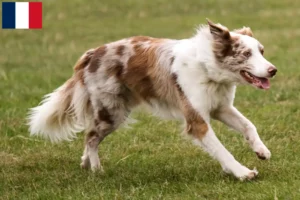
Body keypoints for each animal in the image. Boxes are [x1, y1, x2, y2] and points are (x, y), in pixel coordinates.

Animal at [27, 19, 276, 180]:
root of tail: (92, 53)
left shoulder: (220, 107)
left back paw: (85, 163)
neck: (210, 70)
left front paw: (261, 150)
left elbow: (249, 125)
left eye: (262, 51)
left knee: (90, 136)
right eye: (246, 54)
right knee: (91, 137)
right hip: (112, 112)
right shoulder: (197, 120)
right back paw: (97, 169)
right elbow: (221, 149)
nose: (273, 70)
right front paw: (242, 172)